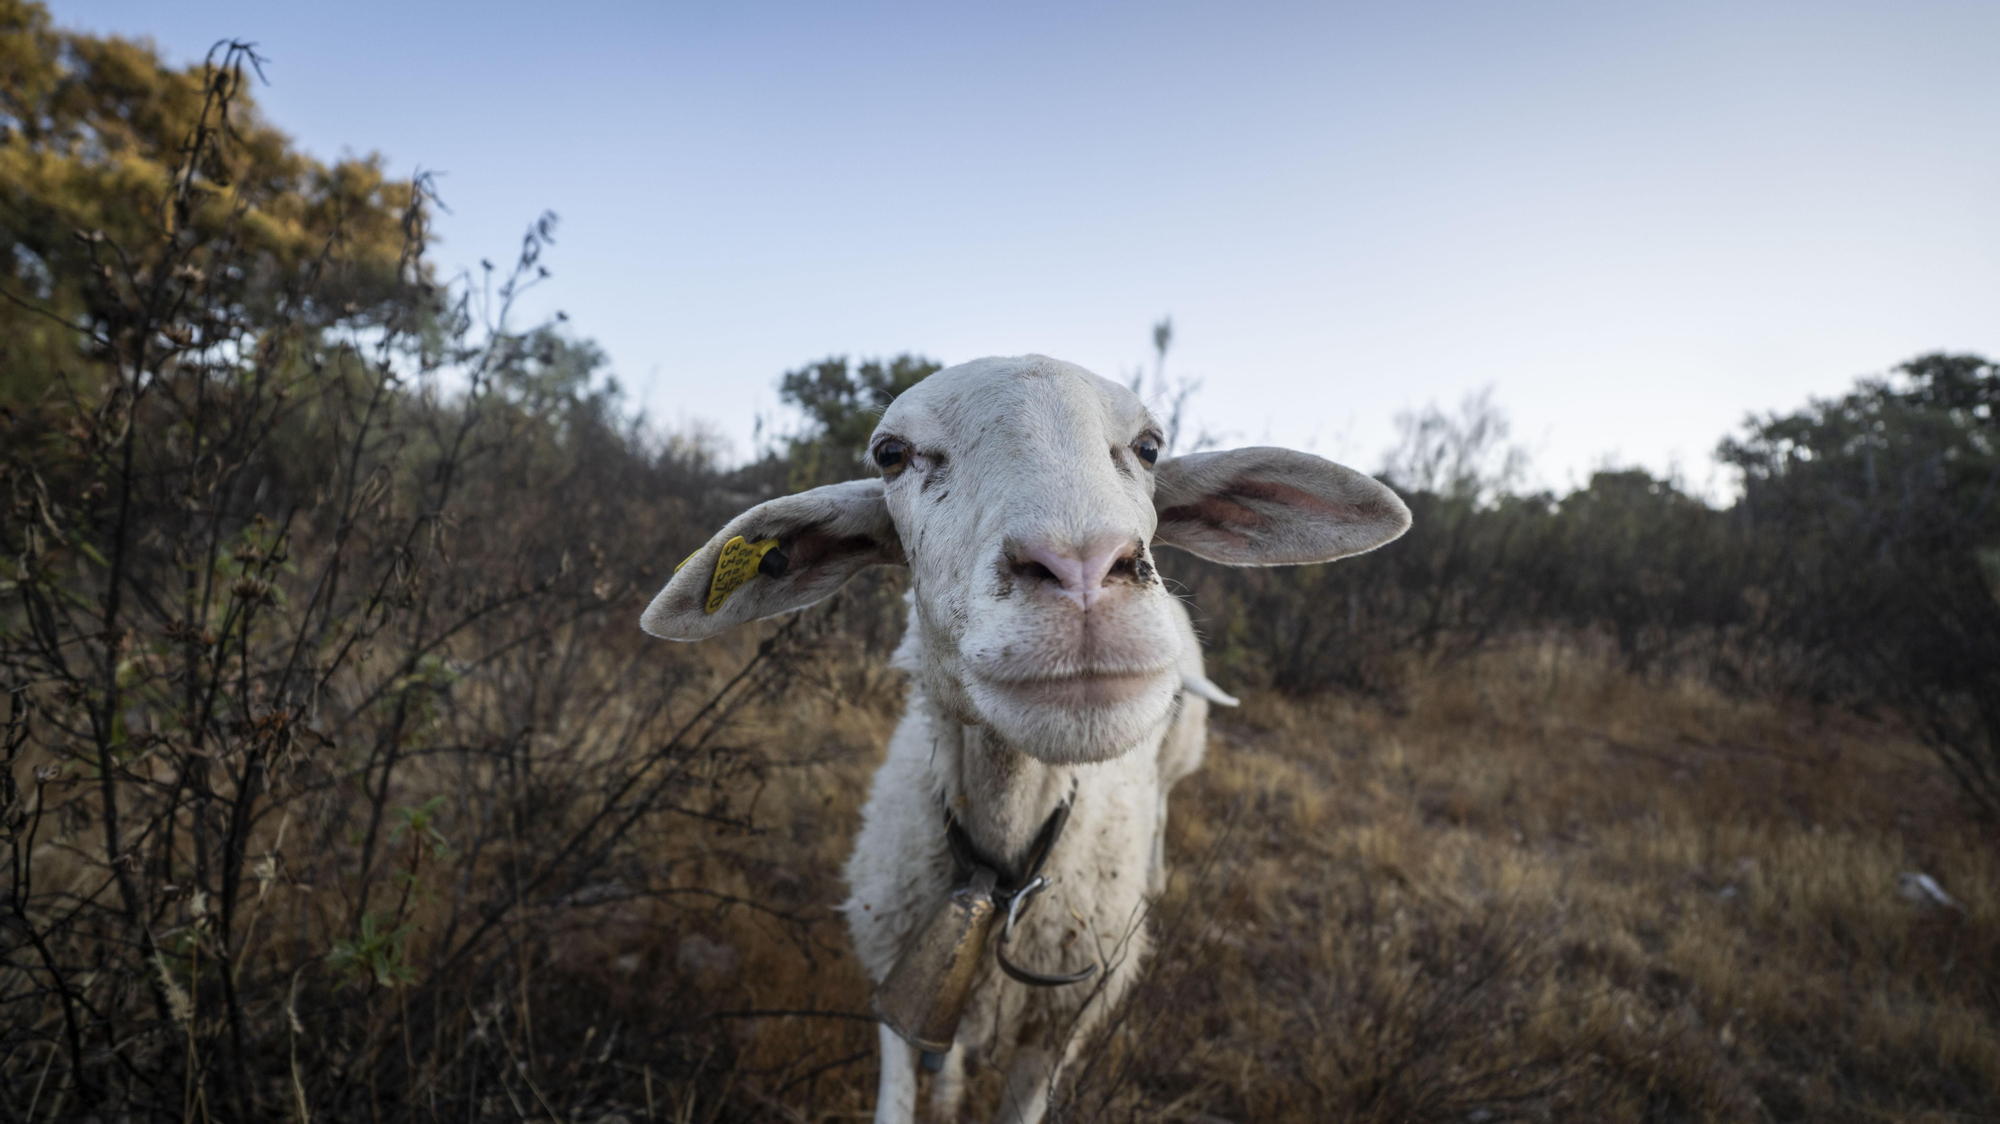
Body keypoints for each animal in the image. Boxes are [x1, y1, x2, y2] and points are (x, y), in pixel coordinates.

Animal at [641, 355, 1410, 1124]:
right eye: (891, 455)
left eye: (1150, 447)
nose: (1082, 573)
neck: (1002, 862)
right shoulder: (898, 966)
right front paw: (943, 1091)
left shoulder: (1059, 1023)